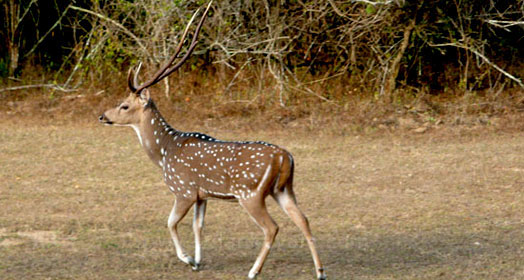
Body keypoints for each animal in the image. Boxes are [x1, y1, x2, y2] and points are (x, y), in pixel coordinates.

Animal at [97, 2, 324, 280]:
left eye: (124, 105)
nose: (102, 116)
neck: (164, 153)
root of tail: (285, 158)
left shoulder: (183, 189)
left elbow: (170, 222)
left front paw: (187, 259)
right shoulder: (202, 194)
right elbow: (199, 226)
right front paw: (197, 260)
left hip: (250, 193)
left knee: (272, 227)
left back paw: (253, 271)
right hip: (284, 189)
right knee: (304, 219)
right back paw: (320, 271)